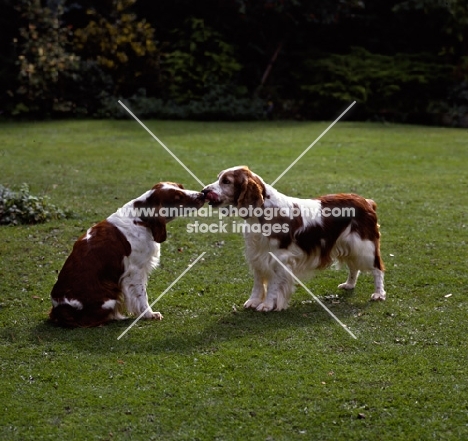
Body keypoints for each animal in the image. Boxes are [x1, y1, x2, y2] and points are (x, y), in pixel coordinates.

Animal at [49, 182, 205, 326]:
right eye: (178, 197)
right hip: (109, 299)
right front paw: (149, 314)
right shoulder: (135, 271)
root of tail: (59, 310)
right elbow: (142, 295)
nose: (202, 194)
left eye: (182, 187)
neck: (142, 220)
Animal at [203, 166, 386, 312]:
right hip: (348, 245)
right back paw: (349, 284)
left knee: (377, 269)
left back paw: (378, 293)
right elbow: (258, 283)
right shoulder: (256, 255)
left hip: (365, 247)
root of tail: (367, 202)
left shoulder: (278, 258)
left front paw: (267, 305)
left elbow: (273, 285)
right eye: (219, 178)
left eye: (226, 181)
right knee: (354, 267)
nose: (204, 191)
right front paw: (253, 301)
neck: (261, 213)